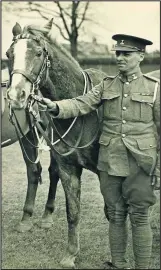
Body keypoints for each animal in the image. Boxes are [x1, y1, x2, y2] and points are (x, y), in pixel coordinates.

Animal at [5, 18, 160, 268]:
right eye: (9, 54)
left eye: (38, 53)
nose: (16, 95)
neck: (82, 113)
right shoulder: (68, 169)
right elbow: (73, 212)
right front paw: (70, 254)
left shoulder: (107, 173)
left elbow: (112, 212)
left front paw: (116, 256)